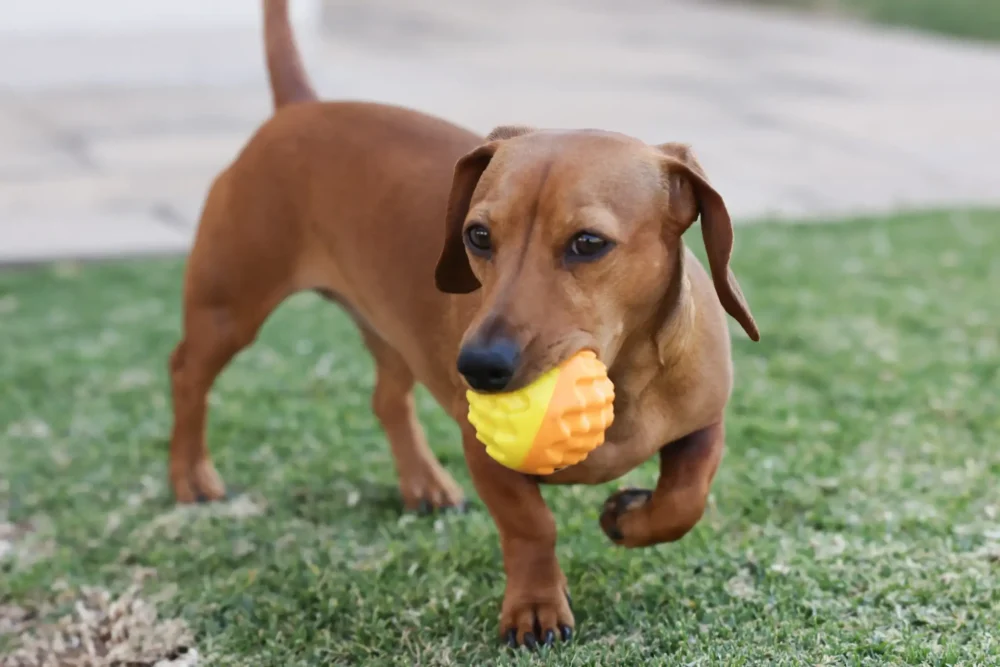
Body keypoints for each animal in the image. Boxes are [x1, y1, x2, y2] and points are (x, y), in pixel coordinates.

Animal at [166, 0, 756, 648]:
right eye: (478, 235)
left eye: (588, 243)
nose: (479, 368)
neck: (620, 377)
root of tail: (300, 107)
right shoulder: (485, 453)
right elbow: (531, 525)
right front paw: (535, 607)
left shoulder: (704, 423)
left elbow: (684, 500)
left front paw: (628, 517)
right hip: (229, 307)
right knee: (187, 375)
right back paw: (191, 476)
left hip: (393, 332)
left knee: (386, 400)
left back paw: (425, 484)